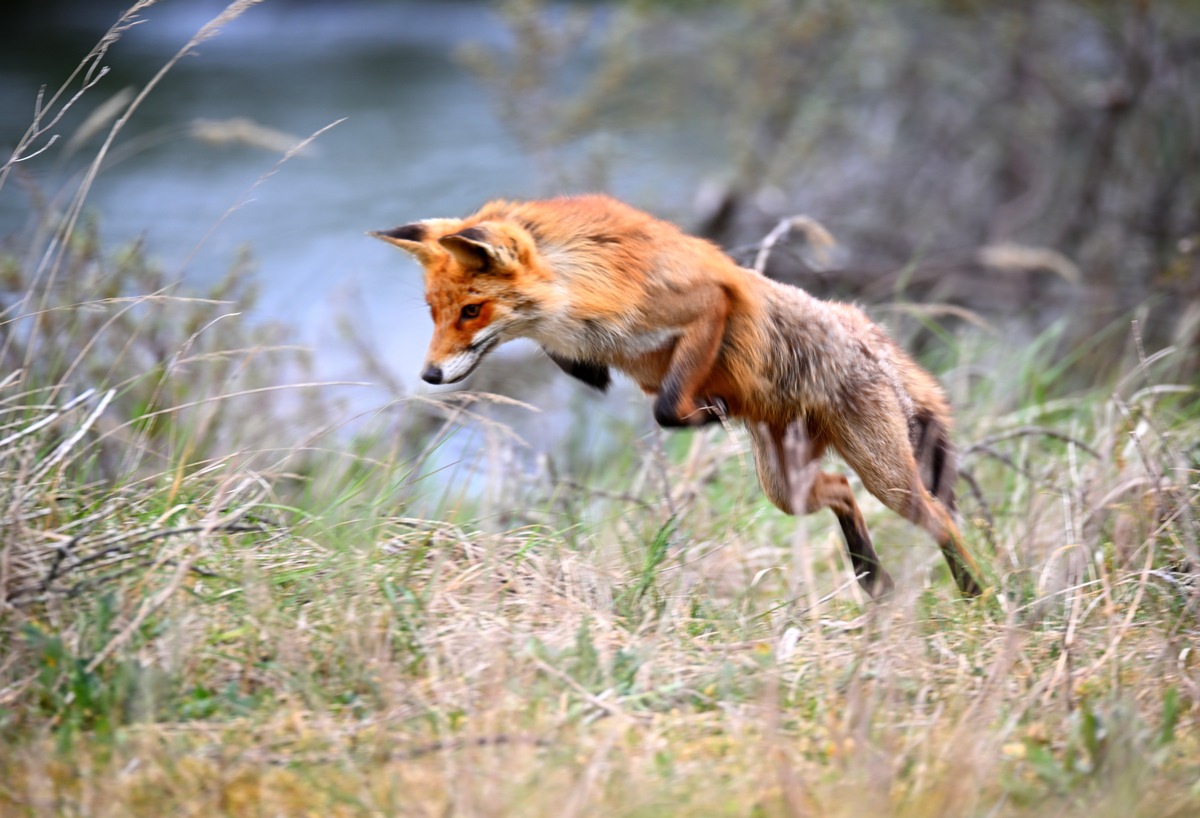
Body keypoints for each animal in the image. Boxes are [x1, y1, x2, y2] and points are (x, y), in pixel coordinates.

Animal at [372, 194, 984, 594]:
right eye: (434, 312)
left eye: (472, 310)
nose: (429, 377)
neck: (578, 287)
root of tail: (862, 326)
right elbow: (599, 372)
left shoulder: (706, 304)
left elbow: (666, 407)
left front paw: (705, 414)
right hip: (785, 486)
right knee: (840, 490)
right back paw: (872, 577)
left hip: (887, 478)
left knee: (938, 516)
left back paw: (978, 590)